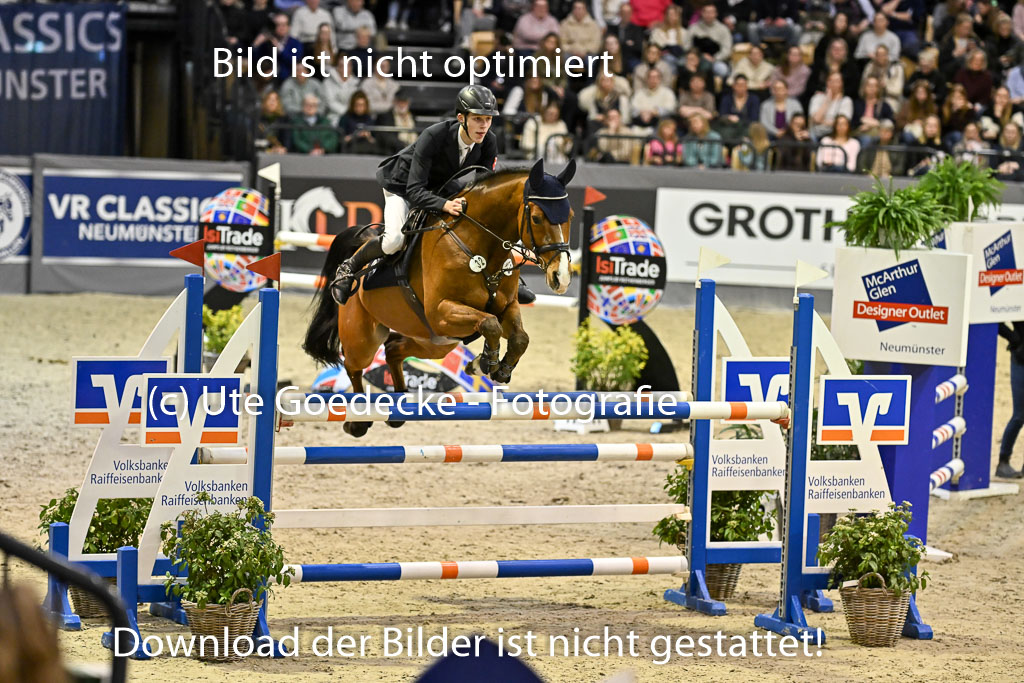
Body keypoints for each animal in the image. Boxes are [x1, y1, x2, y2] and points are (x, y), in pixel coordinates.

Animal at [303, 158, 576, 437]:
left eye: (570, 217)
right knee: (354, 364)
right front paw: (486, 362)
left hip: (434, 341)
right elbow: (490, 324)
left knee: (393, 349)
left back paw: (398, 408)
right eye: (537, 218)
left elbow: (519, 338)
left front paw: (493, 368)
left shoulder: (506, 307)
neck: (479, 245)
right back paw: (358, 420)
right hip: (366, 337)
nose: (562, 277)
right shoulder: (442, 311)